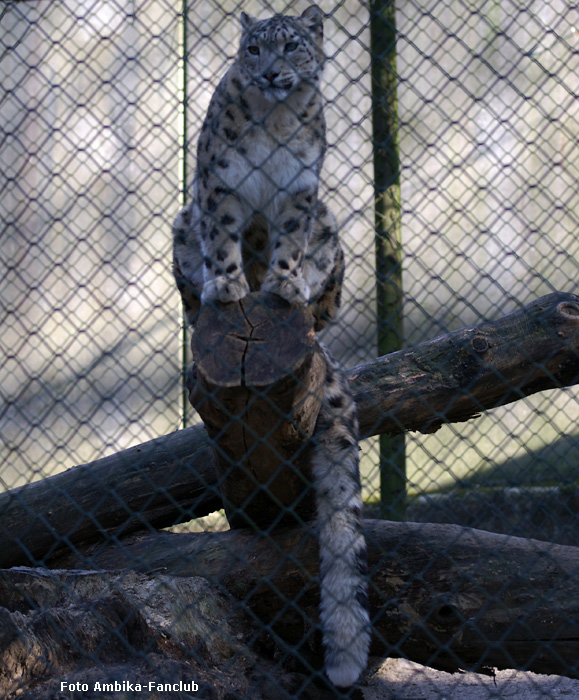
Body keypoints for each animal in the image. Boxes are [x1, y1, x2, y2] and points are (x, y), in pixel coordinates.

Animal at [172, 5, 372, 688]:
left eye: (291, 45)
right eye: (253, 48)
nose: (270, 72)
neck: (277, 124)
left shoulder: (298, 193)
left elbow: (287, 240)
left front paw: (281, 285)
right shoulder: (220, 187)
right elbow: (224, 237)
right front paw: (230, 287)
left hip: (331, 227)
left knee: (321, 299)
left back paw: (300, 299)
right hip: (180, 224)